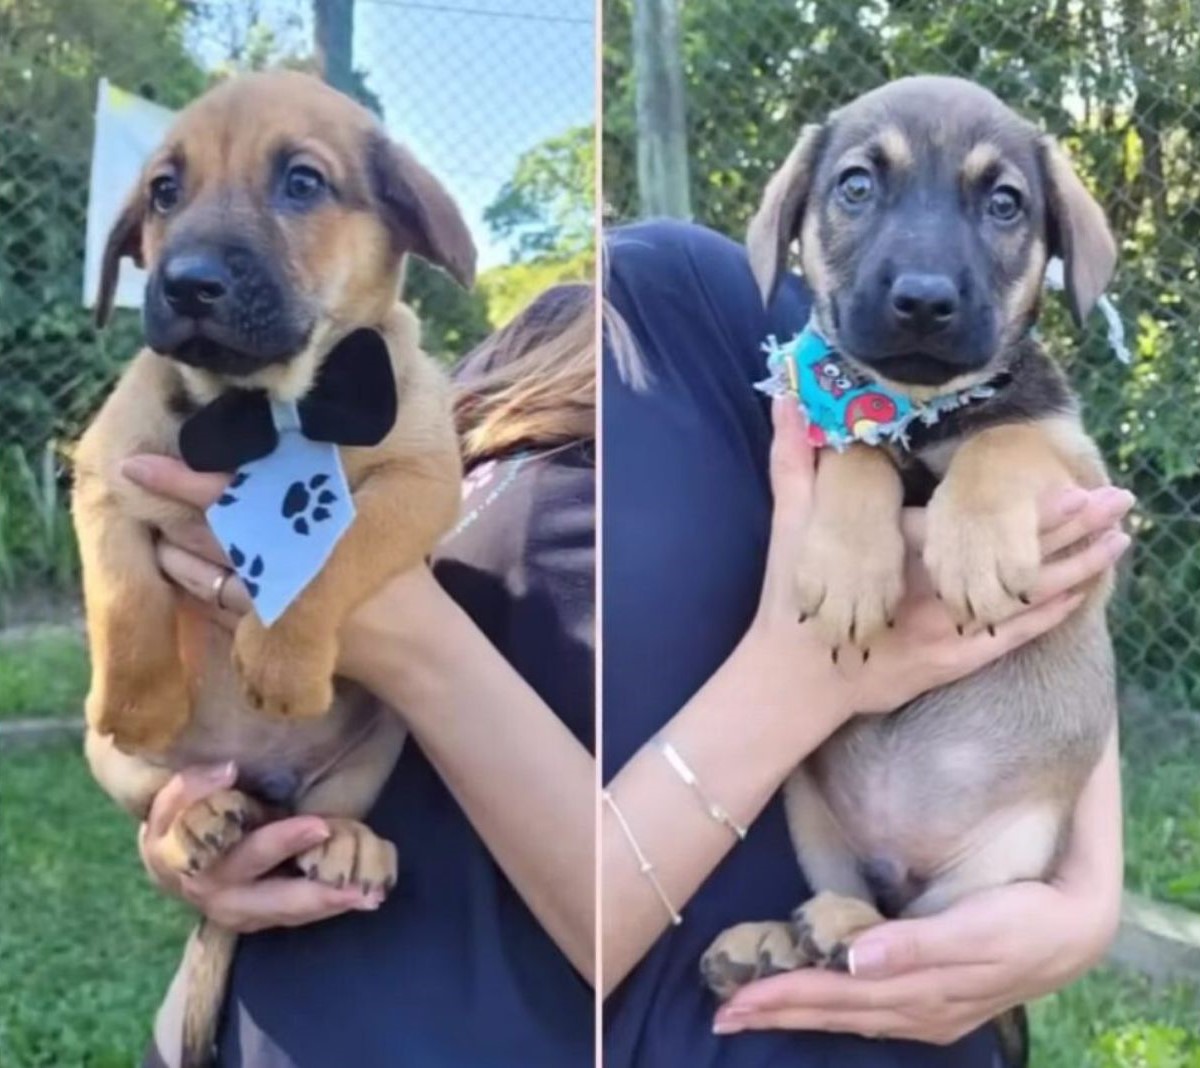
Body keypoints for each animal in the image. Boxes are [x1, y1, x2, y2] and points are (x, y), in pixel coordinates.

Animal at [72, 70, 475, 1060]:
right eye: (164, 193)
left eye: (302, 183)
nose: (187, 283)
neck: (265, 408)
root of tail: (261, 789)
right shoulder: (101, 474)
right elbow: (124, 595)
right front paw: (141, 701)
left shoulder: (419, 480)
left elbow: (328, 549)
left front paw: (279, 660)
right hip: (108, 763)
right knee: (167, 796)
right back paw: (198, 817)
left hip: (379, 748)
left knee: (318, 819)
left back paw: (344, 843)